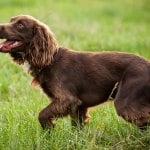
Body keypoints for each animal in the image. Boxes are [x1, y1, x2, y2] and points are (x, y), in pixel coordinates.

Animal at [0, 15, 150, 130]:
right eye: (11, 20)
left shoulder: (67, 99)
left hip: (125, 102)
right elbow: (77, 128)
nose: (0, 26)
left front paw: (49, 129)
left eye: (20, 25)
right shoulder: (78, 106)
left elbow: (42, 114)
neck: (50, 61)